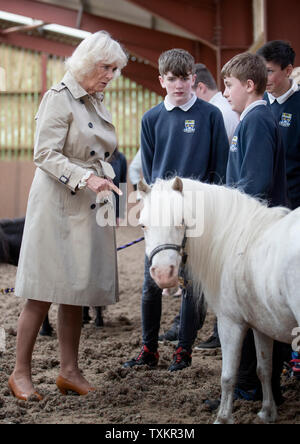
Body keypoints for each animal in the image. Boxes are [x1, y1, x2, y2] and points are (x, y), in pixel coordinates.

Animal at [139, 176, 300, 424]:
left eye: (182, 221)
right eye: (143, 225)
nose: (163, 274)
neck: (239, 244)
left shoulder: (230, 324)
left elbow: (228, 376)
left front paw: (223, 418)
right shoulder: (262, 324)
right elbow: (264, 368)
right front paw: (267, 412)